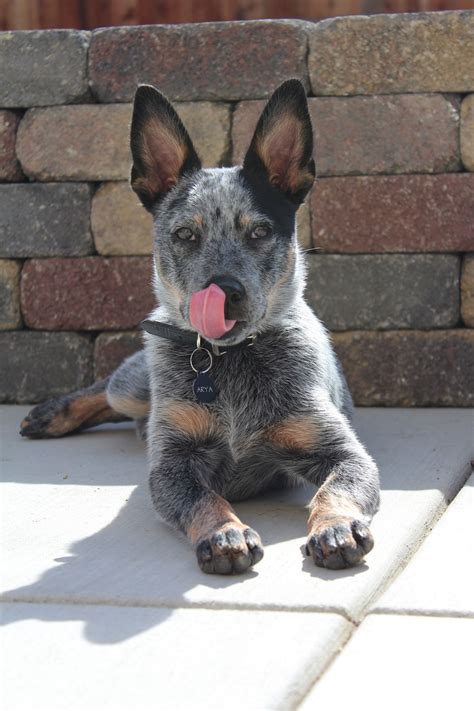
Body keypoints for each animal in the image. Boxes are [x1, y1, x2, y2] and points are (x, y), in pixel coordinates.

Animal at [20, 80, 380, 576]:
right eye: (185, 234)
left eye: (259, 231)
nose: (223, 292)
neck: (229, 360)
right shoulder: (173, 464)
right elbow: (203, 498)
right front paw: (224, 533)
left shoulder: (339, 449)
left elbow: (338, 487)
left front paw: (336, 526)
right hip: (132, 388)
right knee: (106, 391)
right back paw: (51, 414)